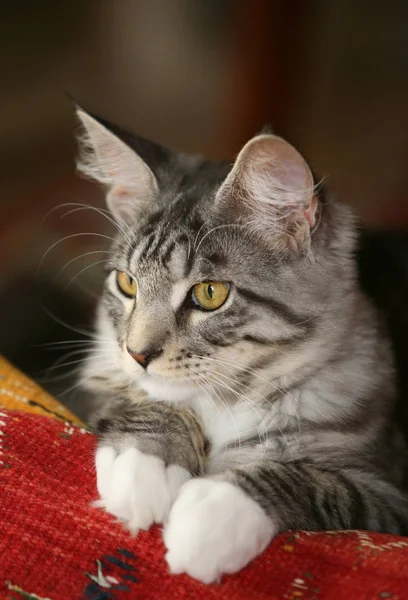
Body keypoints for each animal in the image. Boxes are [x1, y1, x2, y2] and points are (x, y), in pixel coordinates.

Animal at [74, 106, 408, 580]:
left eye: (210, 293)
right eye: (127, 283)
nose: (138, 354)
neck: (229, 400)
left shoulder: (388, 491)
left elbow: (312, 481)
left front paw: (212, 515)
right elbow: (146, 400)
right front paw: (144, 463)